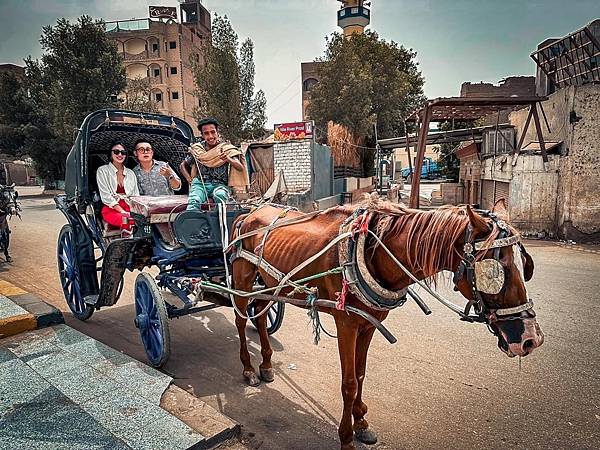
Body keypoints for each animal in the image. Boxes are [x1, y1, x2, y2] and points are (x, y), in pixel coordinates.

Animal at [231, 198, 544, 450]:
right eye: (494, 271)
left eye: (525, 265)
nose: (531, 339)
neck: (369, 253)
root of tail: (249, 211)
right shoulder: (346, 325)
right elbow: (348, 383)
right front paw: (346, 437)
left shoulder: (369, 325)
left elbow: (360, 376)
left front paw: (362, 424)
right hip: (243, 280)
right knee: (240, 318)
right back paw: (248, 368)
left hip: (267, 286)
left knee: (261, 314)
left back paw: (266, 365)